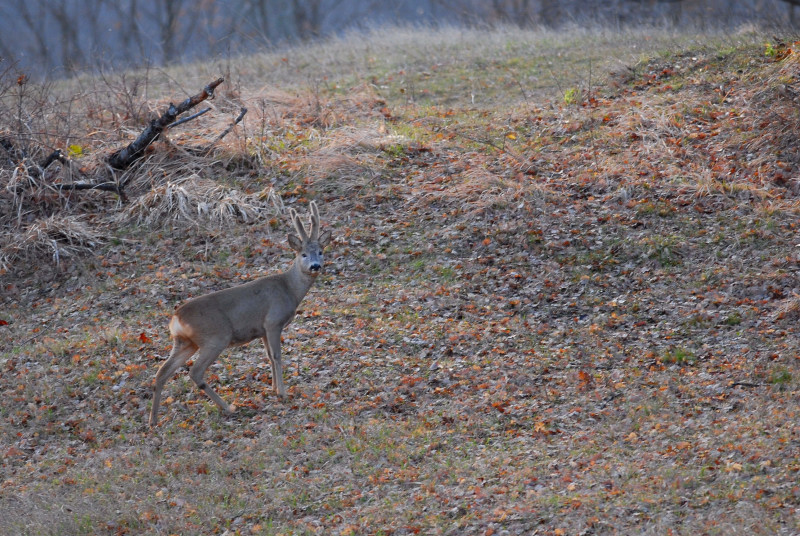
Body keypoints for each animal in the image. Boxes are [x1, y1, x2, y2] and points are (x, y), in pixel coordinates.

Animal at [149, 201, 332, 428]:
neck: (289, 288)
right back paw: (229, 407)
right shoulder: (273, 321)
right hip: (216, 336)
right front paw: (282, 393)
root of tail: (176, 319)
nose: (315, 266)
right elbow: (277, 356)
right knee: (195, 372)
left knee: (162, 371)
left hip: (185, 342)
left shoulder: (262, 329)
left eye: (321, 251)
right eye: (303, 254)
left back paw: (153, 420)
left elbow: (269, 356)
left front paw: (273, 389)